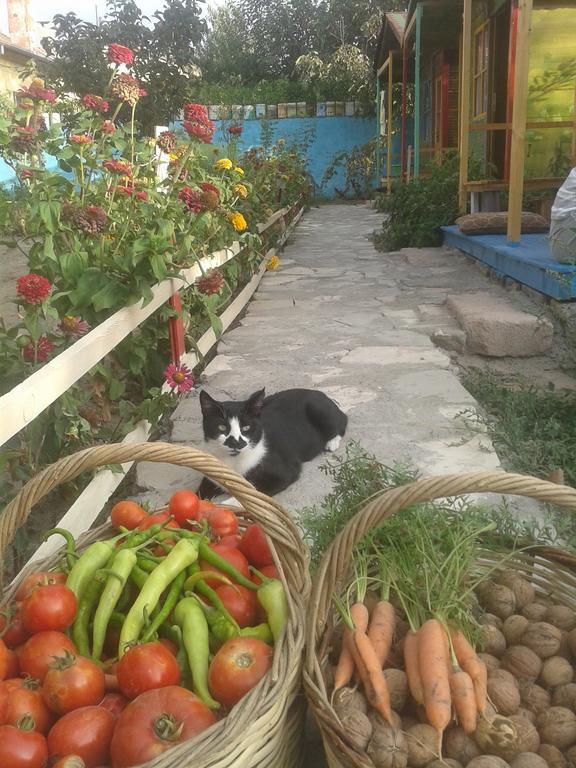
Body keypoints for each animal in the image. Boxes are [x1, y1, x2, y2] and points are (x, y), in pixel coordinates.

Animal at [198, 390, 346, 498]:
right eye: (222, 427)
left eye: (246, 427)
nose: (235, 442)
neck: (234, 461)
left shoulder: (285, 472)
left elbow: (254, 495)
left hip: (319, 409)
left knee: (342, 421)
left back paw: (332, 442)